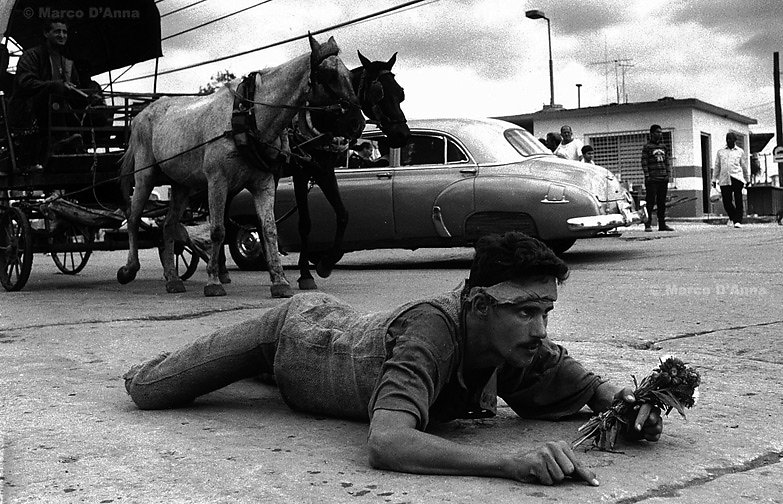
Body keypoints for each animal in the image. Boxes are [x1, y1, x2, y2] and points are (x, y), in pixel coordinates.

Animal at [117, 35, 368, 298]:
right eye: (327, 75)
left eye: (349, 76)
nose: (357, 123)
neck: (248, 117)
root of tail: (140, 114)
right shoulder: (217, 181)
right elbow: (218, 230)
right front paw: (214, 281)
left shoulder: (265, 182)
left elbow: (269, 229)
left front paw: (280, 281)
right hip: (145, 177)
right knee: (133, 218)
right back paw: (129, 269)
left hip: (181, 186)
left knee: (168, 226)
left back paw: (173, 279)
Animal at [286, 50, 410, 292]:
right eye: (378, 93)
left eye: (400, 93)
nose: (403, 135)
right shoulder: (301, 171)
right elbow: (305, 223)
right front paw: (305, 274)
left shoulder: (323, 171)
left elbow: (343, 214)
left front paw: (326, 263)